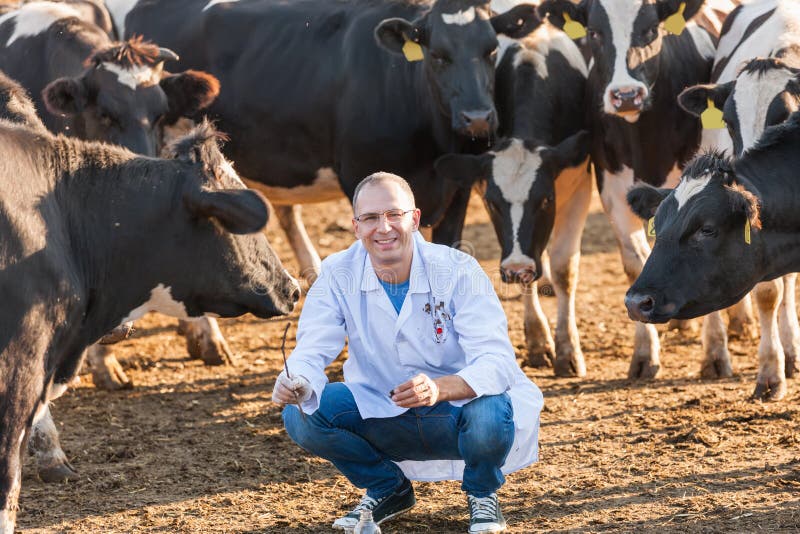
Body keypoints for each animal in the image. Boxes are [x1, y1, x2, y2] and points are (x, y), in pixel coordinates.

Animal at [434, 24, 592, 376]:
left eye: (545, 200)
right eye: (494, 203)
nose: (518, 268)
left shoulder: (580, 182)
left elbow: (565, 268)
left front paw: (568, 349)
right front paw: (538, 341)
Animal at [540, 0, 716, 382]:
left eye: (651, 29)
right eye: (593, 32)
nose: (625, 95)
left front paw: (716, 357)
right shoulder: (615, 193)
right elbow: (636, 264)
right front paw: (644, 355)